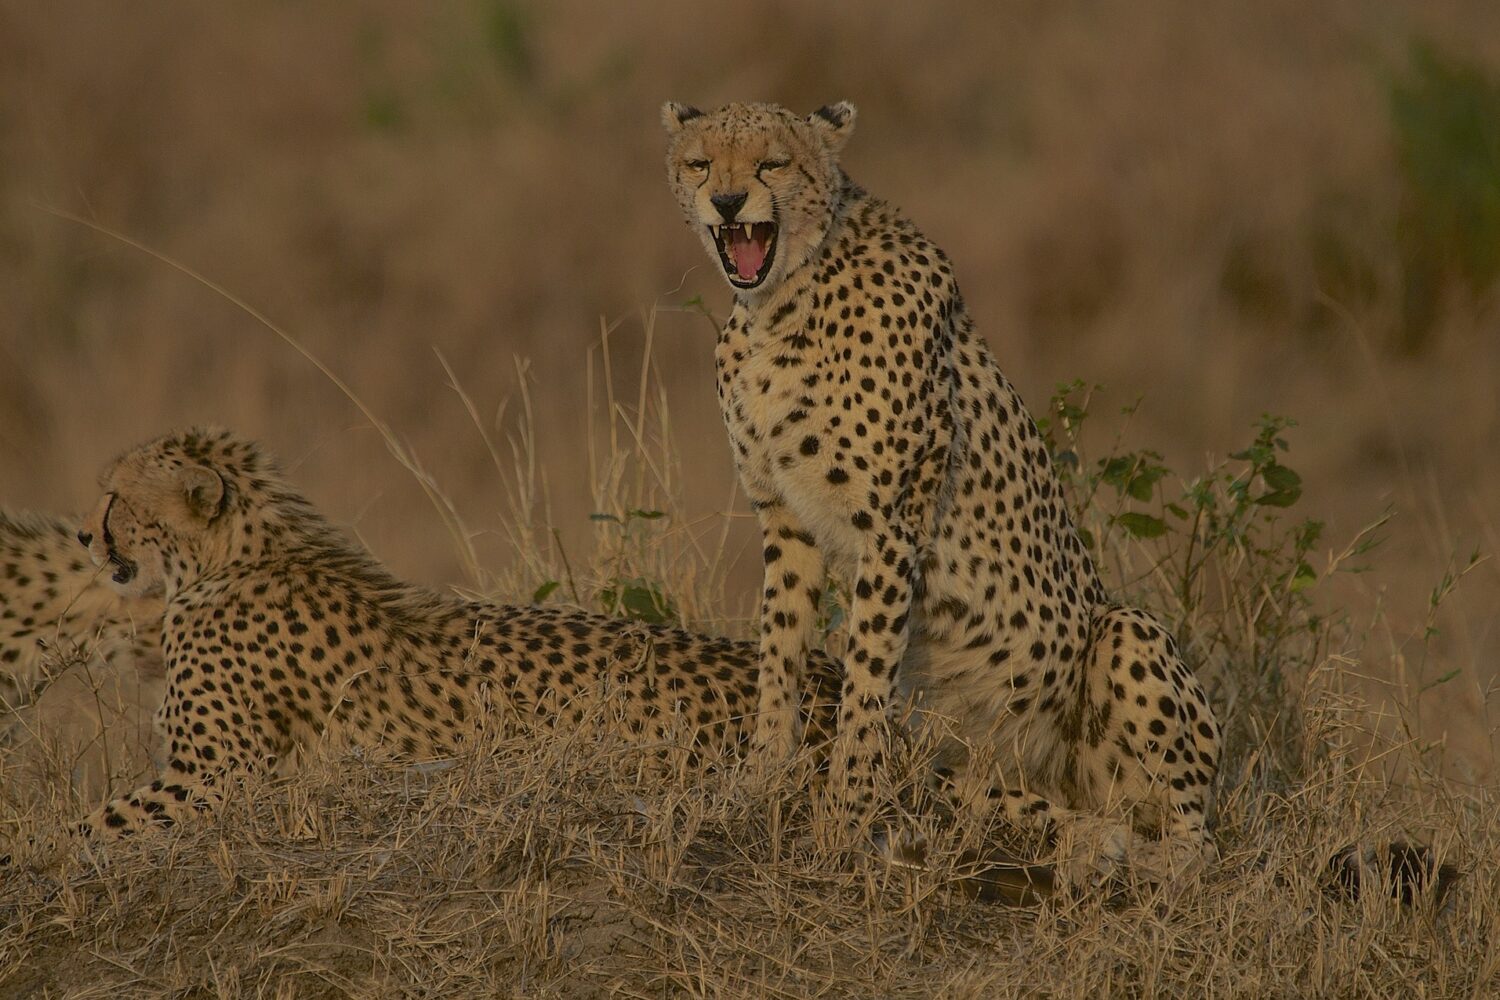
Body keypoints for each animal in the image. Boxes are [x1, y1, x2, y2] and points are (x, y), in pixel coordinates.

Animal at [67, 425, 846, 839]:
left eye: (114, 499)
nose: (82, 535)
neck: (234, 553)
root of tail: (832, 676)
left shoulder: (214, 774)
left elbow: (86, 828)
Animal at [666, 99, 1218, 869]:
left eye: (772, 163)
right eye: (699, 163)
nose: (725, 202)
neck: (784, 302)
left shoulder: (890, 528)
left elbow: (866, 682)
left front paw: (842, 822)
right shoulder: (785, 517)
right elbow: (780, 656)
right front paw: (759, 783)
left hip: (1124, 633)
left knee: (1195, 841)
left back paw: (1131, 858)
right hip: (976, 769)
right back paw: (1076, 837)